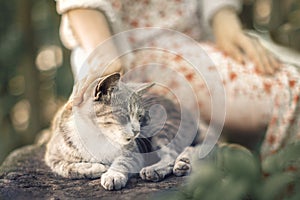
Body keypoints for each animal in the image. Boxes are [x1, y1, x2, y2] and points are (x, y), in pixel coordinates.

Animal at [44, 73, 199, 191]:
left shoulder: (134, 152)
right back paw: (184, 164)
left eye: (139, 116)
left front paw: (113, 175)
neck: (98, 135)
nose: (137, 131)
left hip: (164, 130)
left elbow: (123, 161)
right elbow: (65, 167)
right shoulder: (52, 154)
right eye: (125, 116)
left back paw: (160, 168)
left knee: (174, 153)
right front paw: (94, 167)